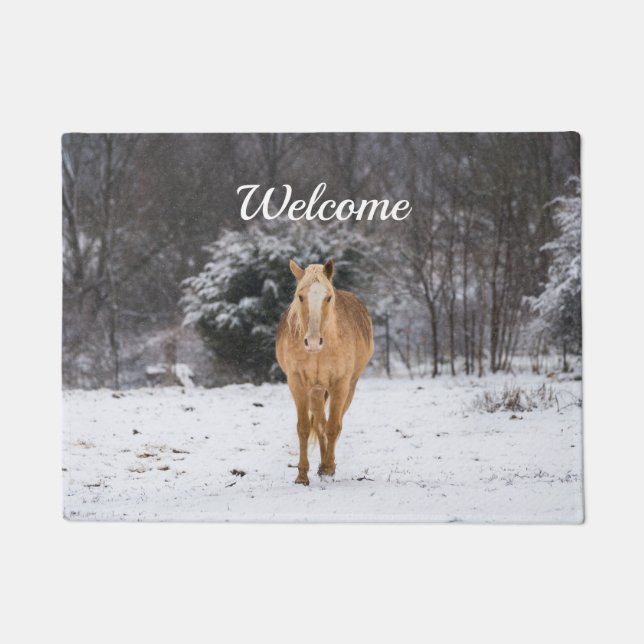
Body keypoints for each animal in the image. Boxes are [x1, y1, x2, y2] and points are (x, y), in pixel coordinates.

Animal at [275, 258, 374, 485]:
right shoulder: (297, 383)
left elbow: (333, 427)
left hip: (349, 386)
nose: (313, 342)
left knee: (334, 423)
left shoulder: (341, 384)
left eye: (328, 297)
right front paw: (302, 475)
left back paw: (327, 466)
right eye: (300, 296)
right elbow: (305, 428)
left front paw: (329, 468)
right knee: (320, 422)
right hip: (317, 390)